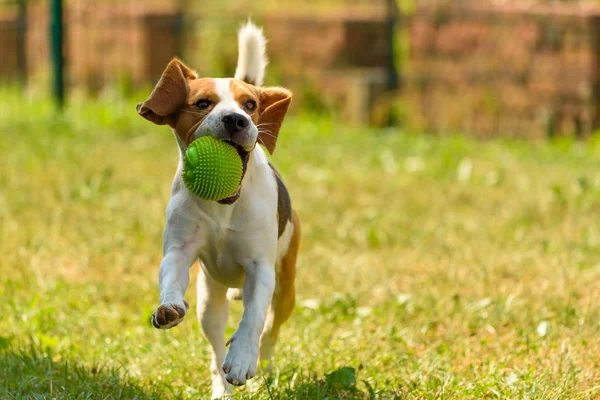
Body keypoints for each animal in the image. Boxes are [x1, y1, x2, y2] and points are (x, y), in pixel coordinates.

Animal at [137, 23, 300, 398]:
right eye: (202, 103)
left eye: (250, 105)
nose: (235, 120)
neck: (224, 206)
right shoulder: (179, 250)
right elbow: (171, 276)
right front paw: (168, 308)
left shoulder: (261, 269)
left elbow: (253, 318)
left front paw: (241, 359)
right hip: (210, 302)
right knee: (214, 345)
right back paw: (221, 389)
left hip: (286, 289)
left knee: (269, 333)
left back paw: (262, 367)